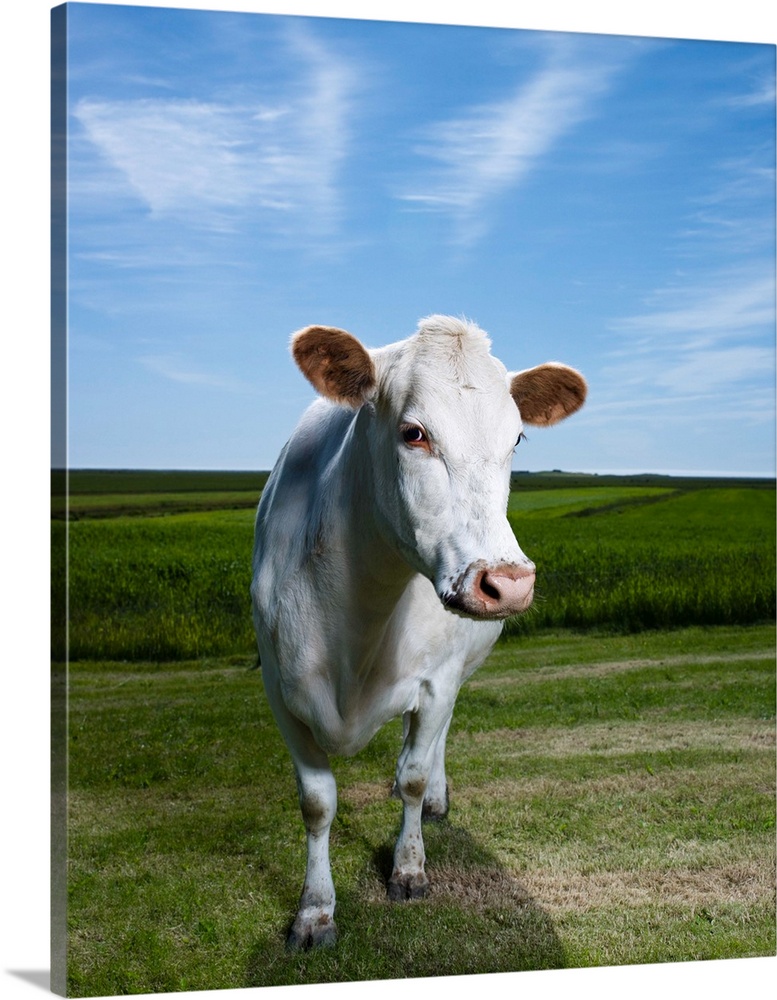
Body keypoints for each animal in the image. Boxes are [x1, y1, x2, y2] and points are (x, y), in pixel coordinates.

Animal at [252, 316, 584, 948]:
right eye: (414, 433)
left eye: (516, 440)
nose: (508, 583)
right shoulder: (281, 692)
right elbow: (317, 803)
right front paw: (315, 910)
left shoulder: (437, 682)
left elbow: (410, 774)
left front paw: (408, 868)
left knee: (432, 745)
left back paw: (434, 797)